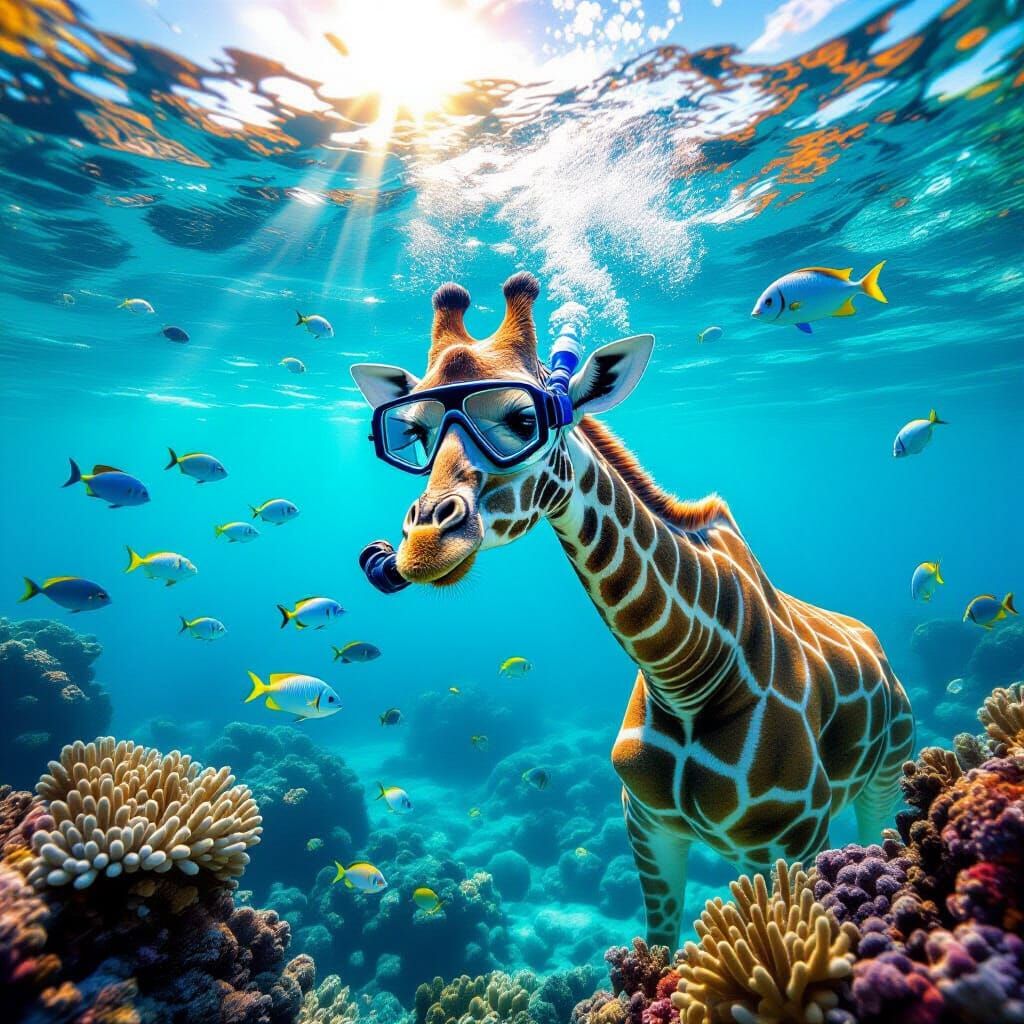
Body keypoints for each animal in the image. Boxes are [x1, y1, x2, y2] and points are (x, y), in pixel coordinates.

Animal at [351, 271, 916, 947]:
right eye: (413, 434)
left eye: (523, 418)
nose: (420, 547)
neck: (687, 673)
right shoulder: (647, 824)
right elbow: (660, 948)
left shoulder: (794, 838)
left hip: (887, 776)